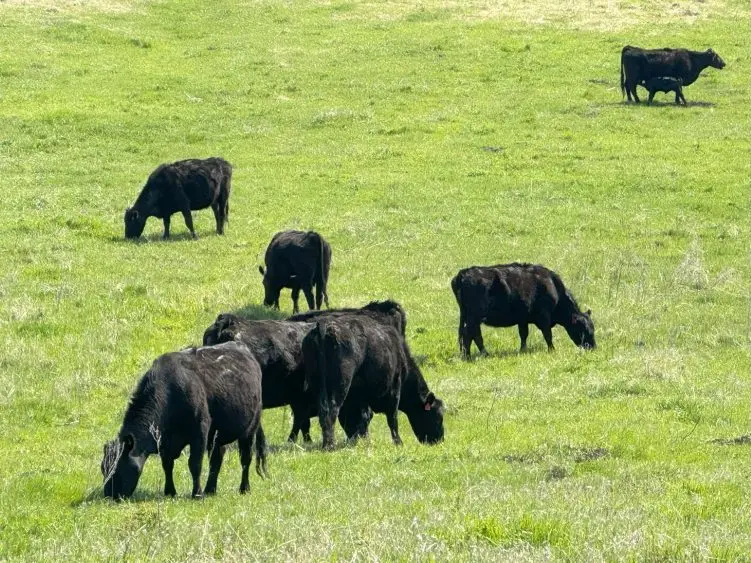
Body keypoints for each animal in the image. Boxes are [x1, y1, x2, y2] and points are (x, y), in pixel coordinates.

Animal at [100, 342, 266, 500]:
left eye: (119, 467)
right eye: (104, 468)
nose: (109, 494)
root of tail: (242, 347)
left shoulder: (200, 432)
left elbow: (195, 464)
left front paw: (197, 494)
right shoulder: (165, 441)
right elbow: (167, 465)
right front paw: (170, 492)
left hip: (250, 429)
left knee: (245, 459)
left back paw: (244, 488)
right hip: (218, 436)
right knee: (216, 460)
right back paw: (210, 489)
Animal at [302, 314, 445, 450]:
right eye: (438, 416)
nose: (439, 440)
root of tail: (324, 325)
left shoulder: (361, 396)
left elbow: (364, 417)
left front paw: (360, 439)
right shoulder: (394, 390)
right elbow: (392, 418)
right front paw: (398, 442)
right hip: (340, 384)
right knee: (331, 409)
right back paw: (330, 445)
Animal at [451, 263, 595, 358]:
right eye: (584, 330)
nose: (593, 347)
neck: (552, 286)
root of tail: (463, 273)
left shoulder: (523, 319)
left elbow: (523, 334)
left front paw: (523, 350)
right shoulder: (544, 316)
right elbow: (547, 334)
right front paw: (552, 350)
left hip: (470, 317)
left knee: (471, 334)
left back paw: (474, 354)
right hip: (474, 316)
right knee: (470, 334)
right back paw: (475, 355)